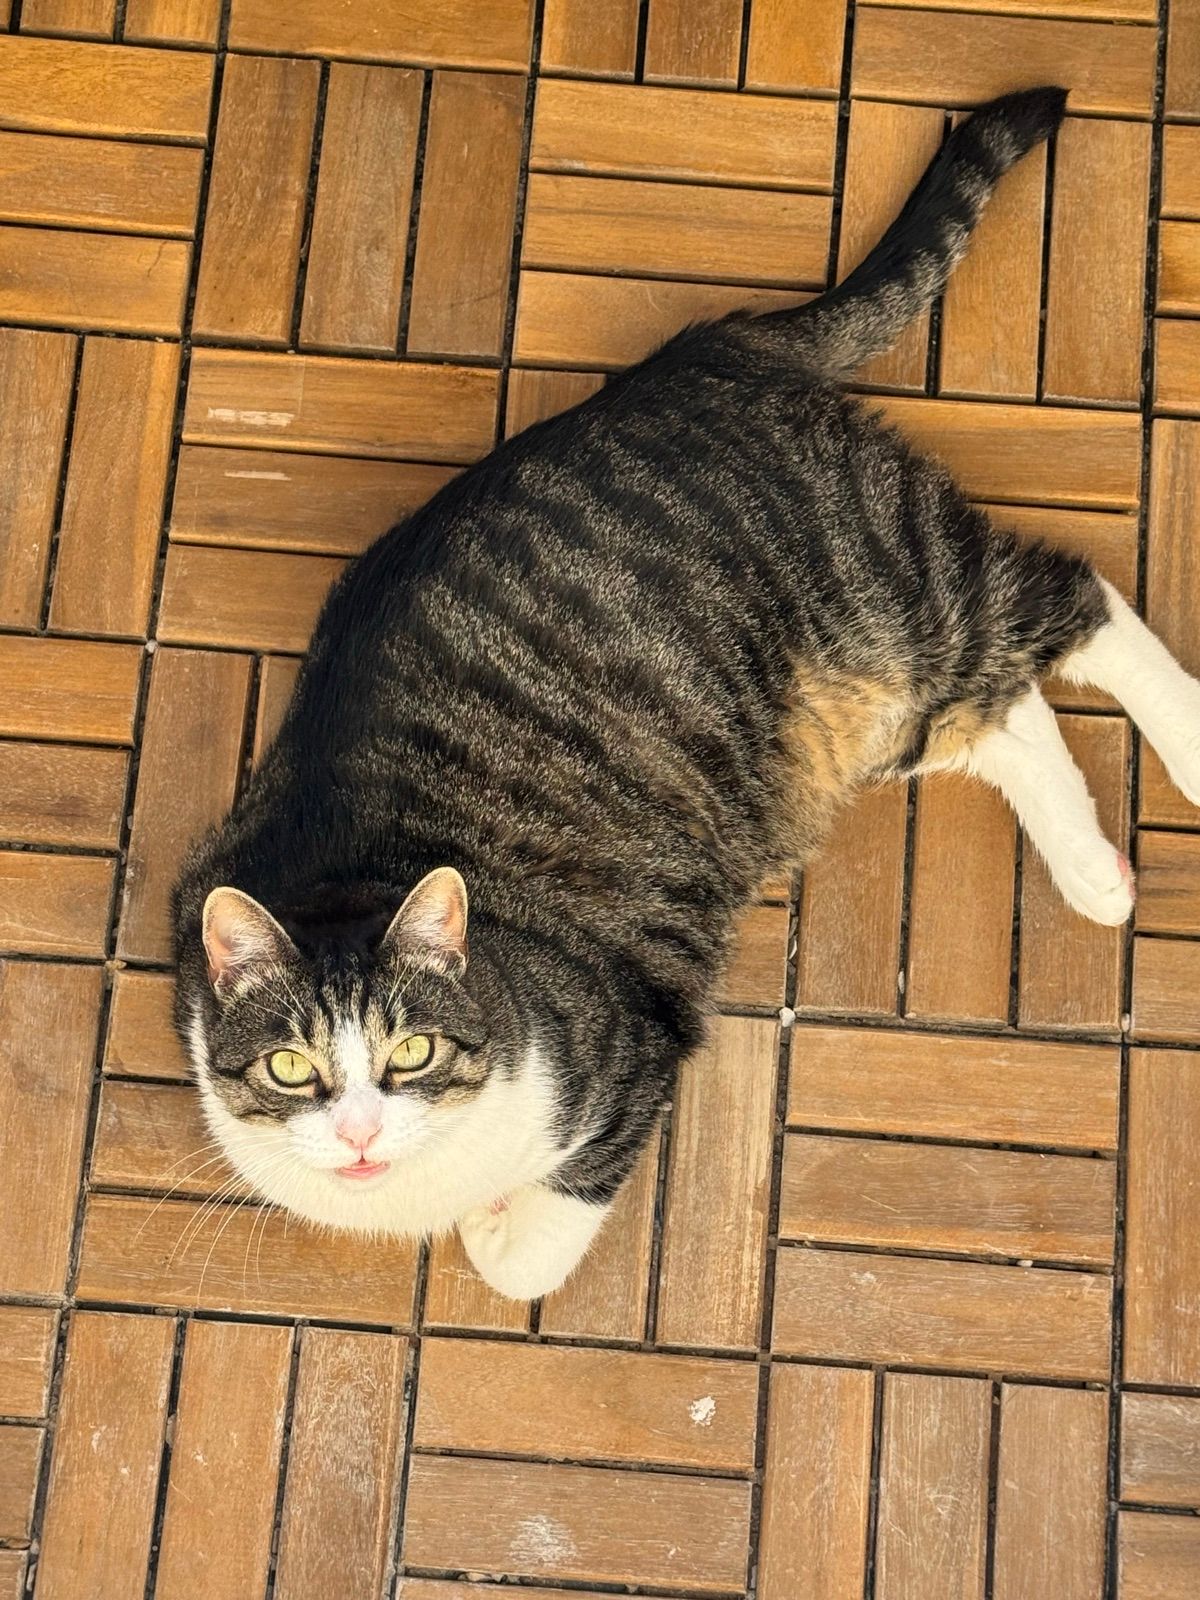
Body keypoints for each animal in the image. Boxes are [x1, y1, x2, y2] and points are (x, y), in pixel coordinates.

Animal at [173, 87, 1199, 1301]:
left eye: (409, 1051)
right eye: (291, 1068)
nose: (361, 1136)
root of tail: (705, 352)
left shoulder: (631, 1043)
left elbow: (526, 1251)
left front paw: (490, 1226)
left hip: (893, 575)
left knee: (1073, 597)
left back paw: (1189, 745)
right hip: (835, 703)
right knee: (1000, 709)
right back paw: (1096, 874)